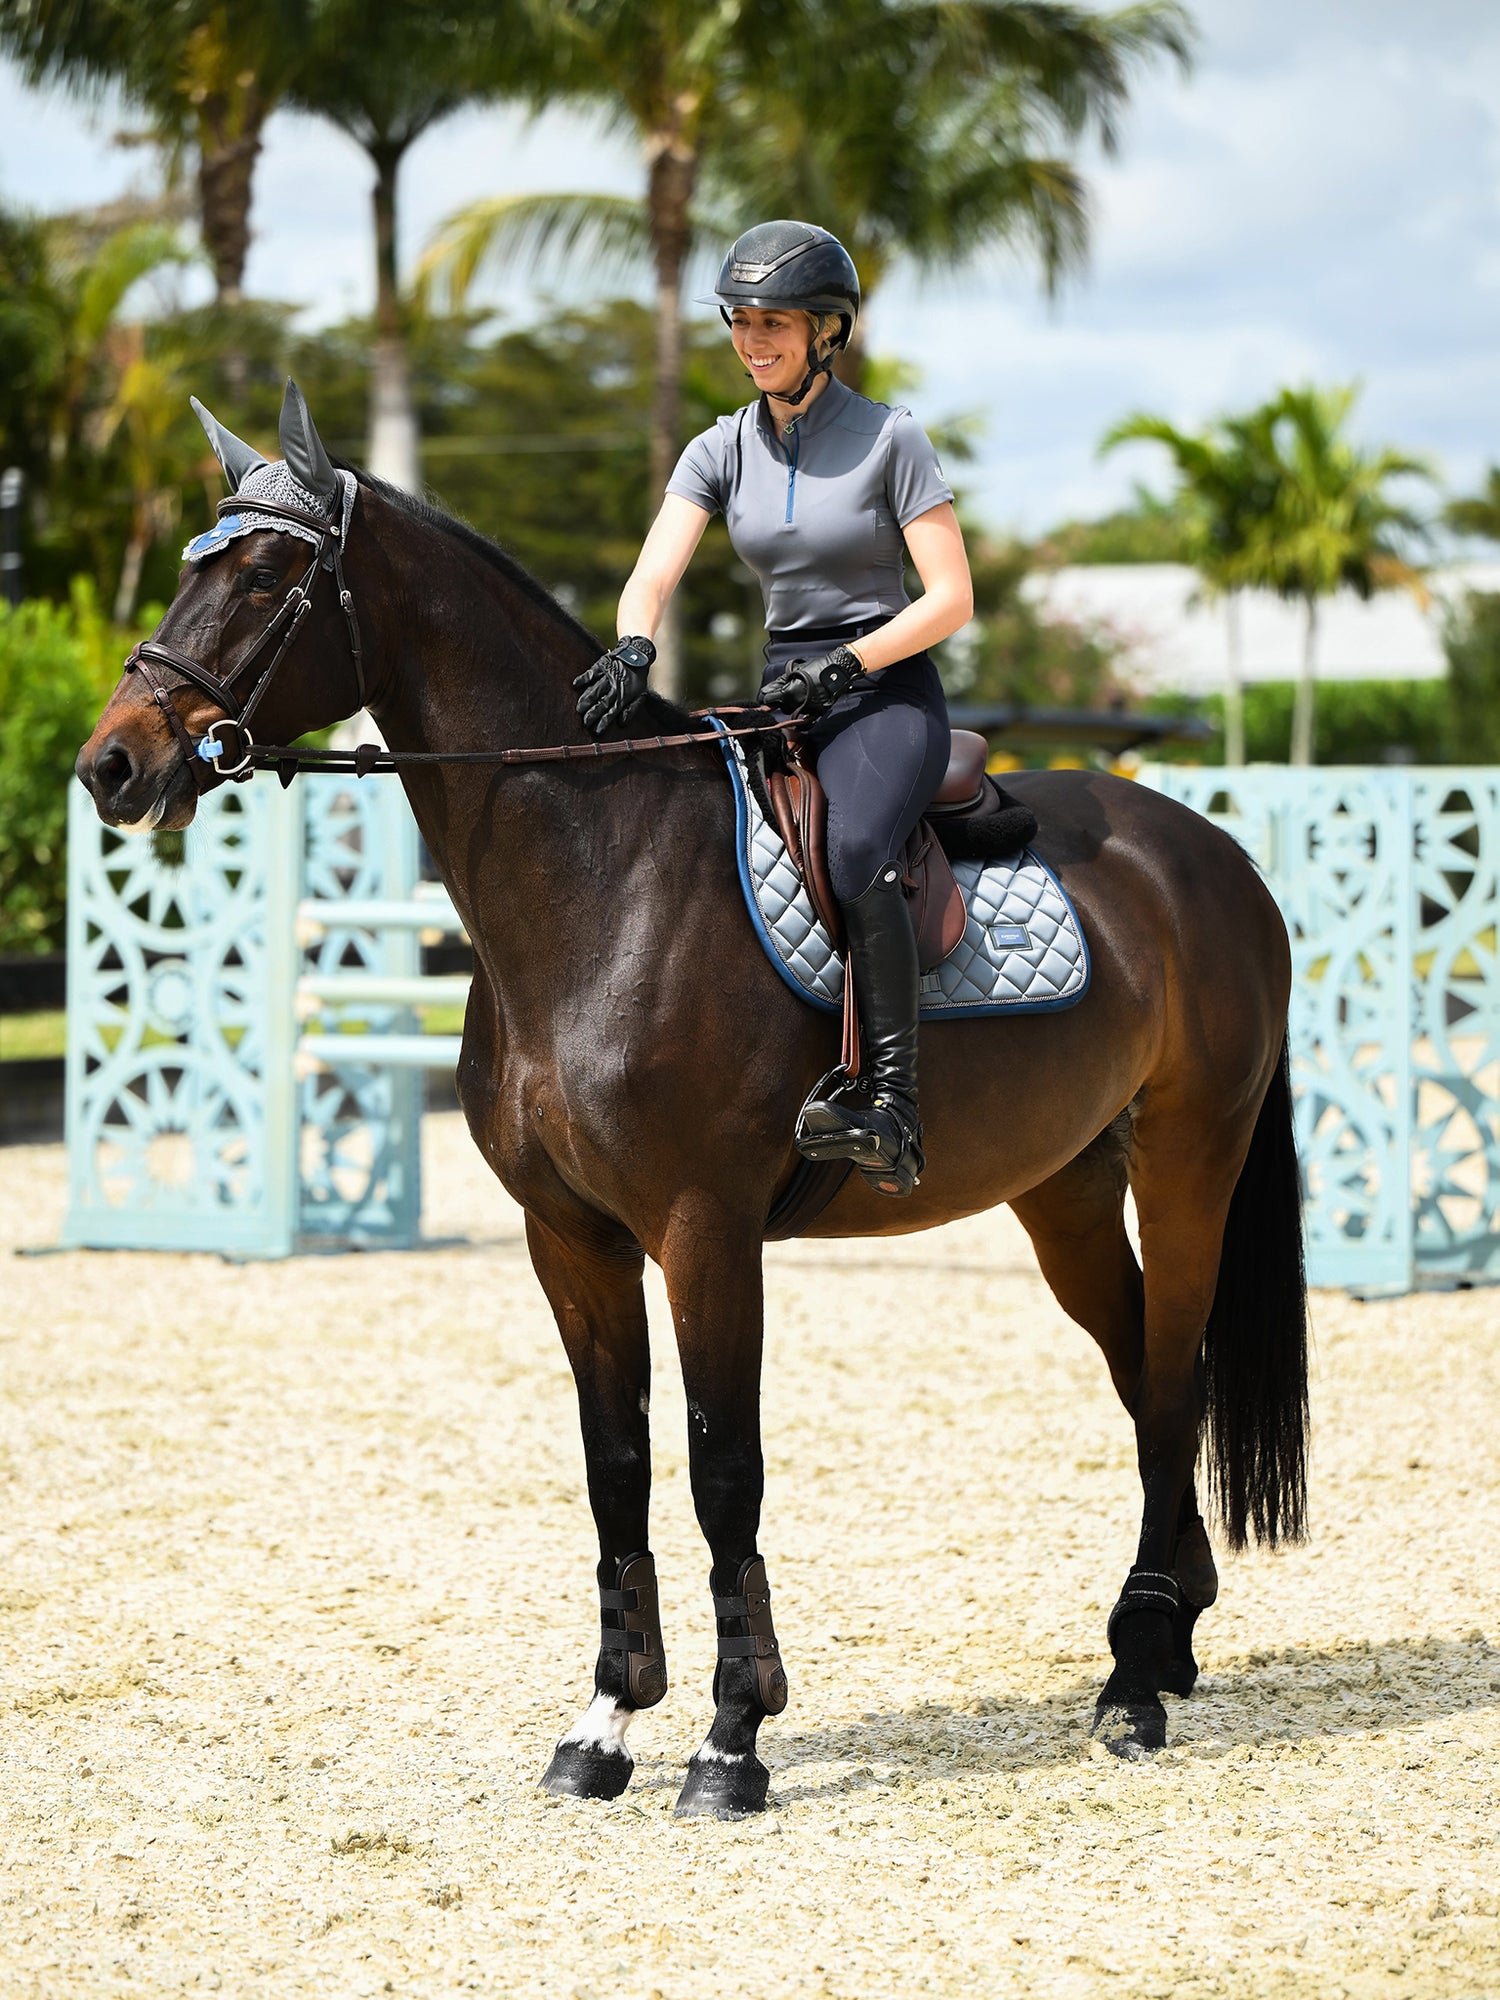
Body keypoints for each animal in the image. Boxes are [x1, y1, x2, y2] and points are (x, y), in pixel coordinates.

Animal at [76, 386, 1312, 1816]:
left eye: (269, 575)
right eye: (192, 567)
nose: (113, 765)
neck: (601, 877)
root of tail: (1214, 852)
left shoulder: (704, 1229)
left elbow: (725, 1466)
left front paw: (733, 1736)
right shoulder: (573, 1240)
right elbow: (616, 1464)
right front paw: (607, 1719)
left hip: (1187, 1163)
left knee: (1168, 1380)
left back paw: (1133, 1684)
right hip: (1060, 1189)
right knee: (1147, 1373)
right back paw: (1160, 1637)